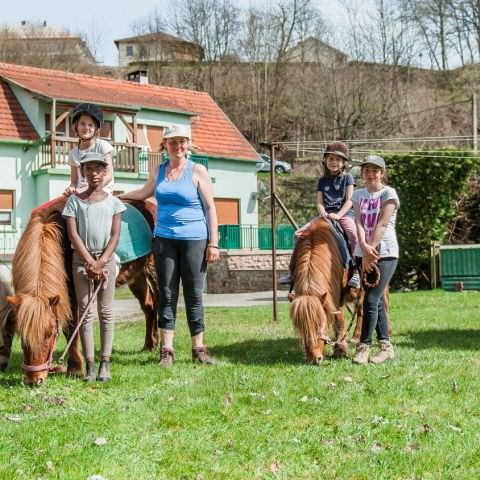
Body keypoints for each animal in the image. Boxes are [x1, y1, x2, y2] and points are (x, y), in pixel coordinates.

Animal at [6, 197, 159, 384]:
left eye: (49, 333)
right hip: (137, 277)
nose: (34, 380)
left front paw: (75, 368)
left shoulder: (73, 295)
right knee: (149, 308)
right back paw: (149, 345)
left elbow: (71, 327)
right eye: (21, 335)